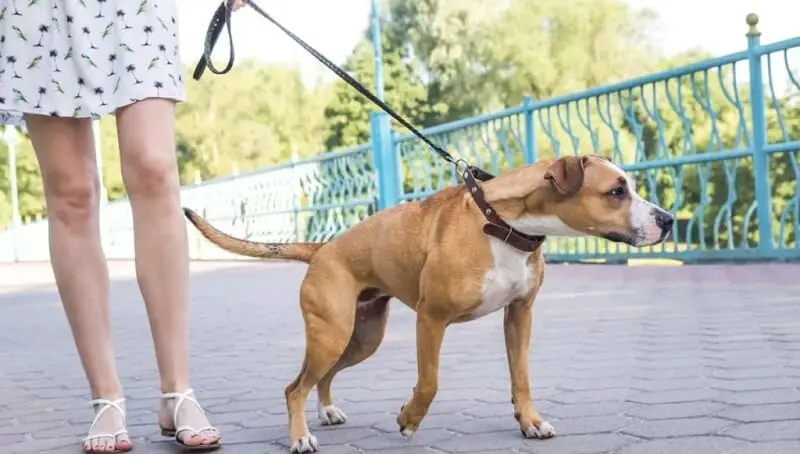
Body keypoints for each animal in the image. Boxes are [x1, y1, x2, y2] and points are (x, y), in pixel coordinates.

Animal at [184, 155, 672, 450]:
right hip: (332, 335)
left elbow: (522, 378)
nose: (667, 219)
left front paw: (529, 421)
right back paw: (301, 435)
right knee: (294, 387)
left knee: (320, 378)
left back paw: (325, 410)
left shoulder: (519, 316)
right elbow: (430, 382)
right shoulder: (431, 320)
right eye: (616, 191)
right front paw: (408, 418)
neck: (501, 224)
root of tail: (323, 249)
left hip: (360, 338)